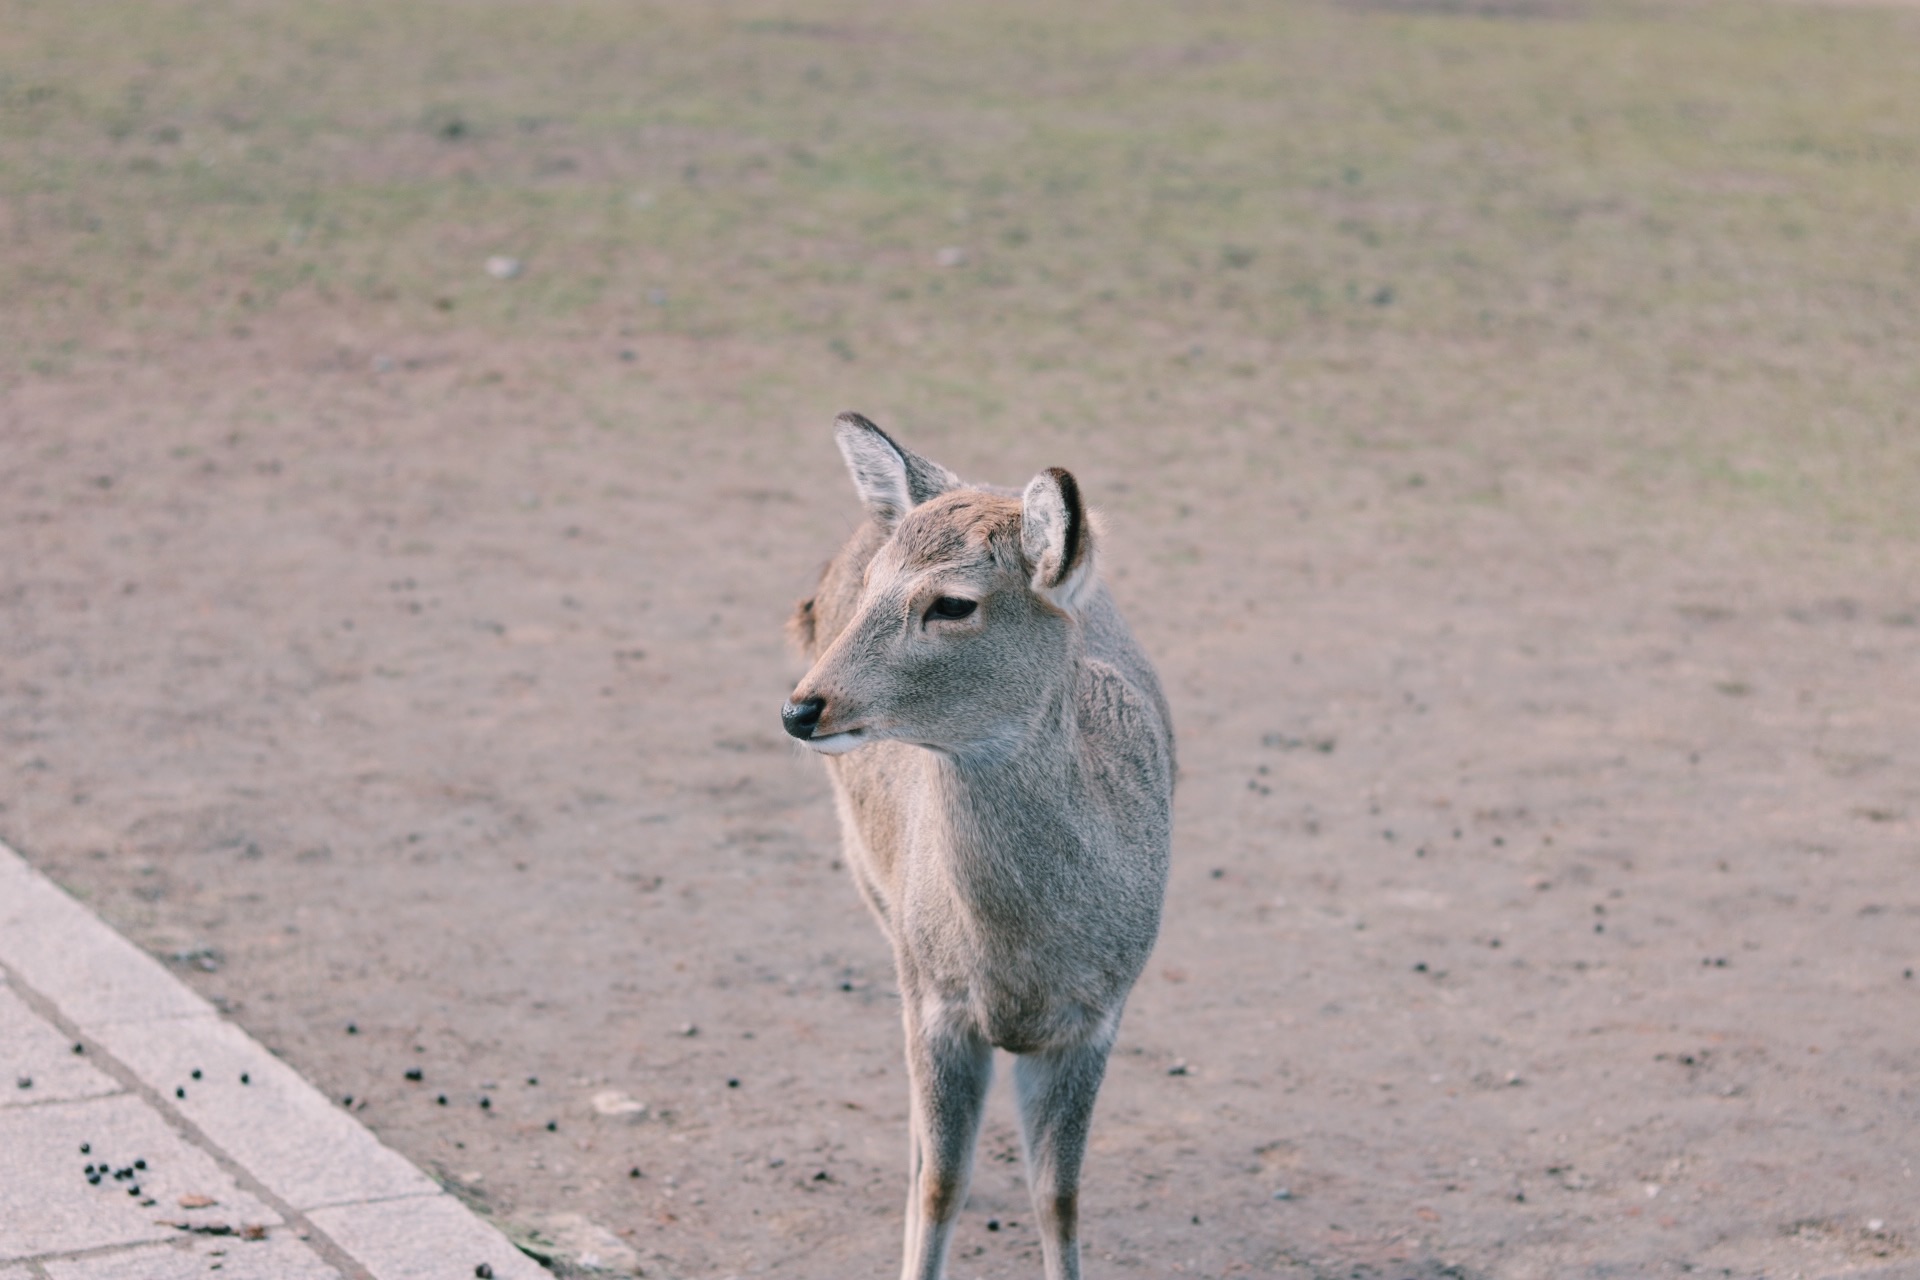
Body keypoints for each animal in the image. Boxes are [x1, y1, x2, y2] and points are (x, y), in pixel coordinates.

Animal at [775, 416, 1167, 1280]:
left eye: (954, 603)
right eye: (875, 584)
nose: (802, 707)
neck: (1020, 970)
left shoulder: (1098, 1016)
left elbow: (1059, 1198)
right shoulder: (936, 1002)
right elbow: (941, 1187)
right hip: (878, 898)